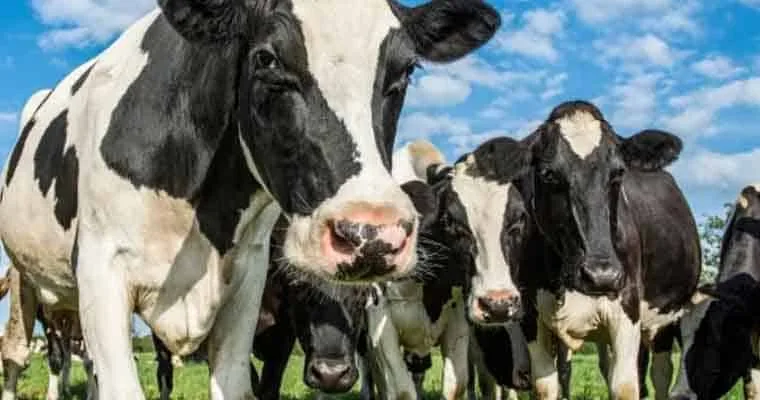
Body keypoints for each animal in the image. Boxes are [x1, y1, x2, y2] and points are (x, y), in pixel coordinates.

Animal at [0, 1, 500, 398]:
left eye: (406, 70)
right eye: (266, 58)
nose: (371, 234)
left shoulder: (248, 279)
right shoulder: (101, 268)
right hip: (33, 285)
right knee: (39, 354)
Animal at [363, 137, 534, 399]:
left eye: (520, 219)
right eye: (450, 221)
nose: (498, 305)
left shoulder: (458, 320)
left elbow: (456, 385)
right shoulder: (379, 319)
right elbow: (401, 390)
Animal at [518, 100, 701, 400]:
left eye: (618, 173)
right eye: (548, 174)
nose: (601, 275)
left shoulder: (627, 309)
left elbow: (625, 386)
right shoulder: (531, 317)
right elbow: (545, 386)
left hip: (664, 318)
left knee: (659, 373)